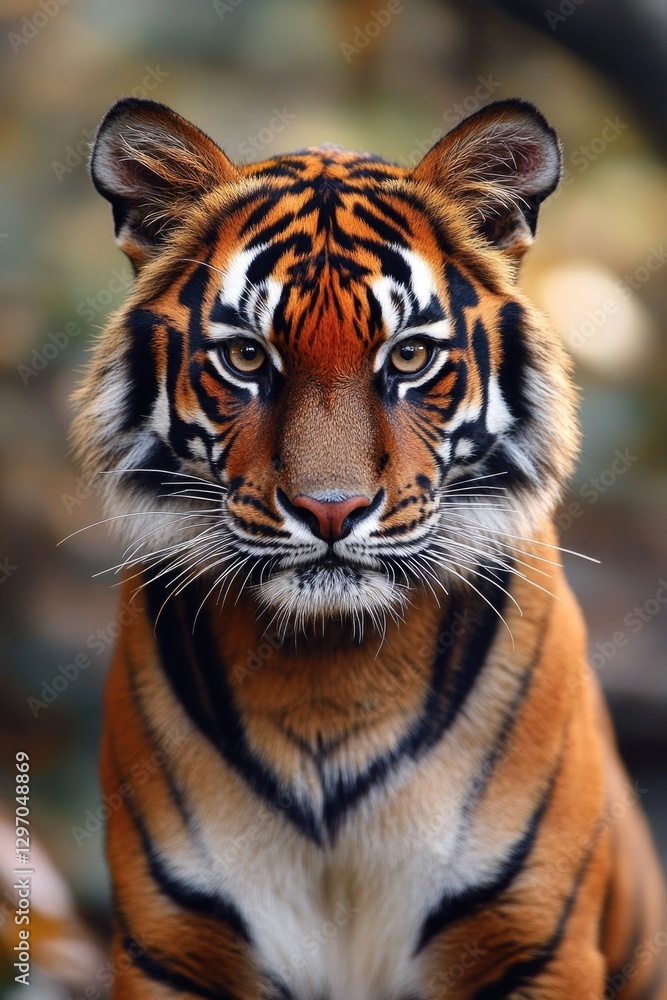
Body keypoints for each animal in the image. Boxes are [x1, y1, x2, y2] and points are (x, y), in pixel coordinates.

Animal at [73, 96, 667, 999]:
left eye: (410, 355)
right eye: (246, 356)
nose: (331, 510)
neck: (328, 672)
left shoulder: (531, 938)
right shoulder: (173, 944)